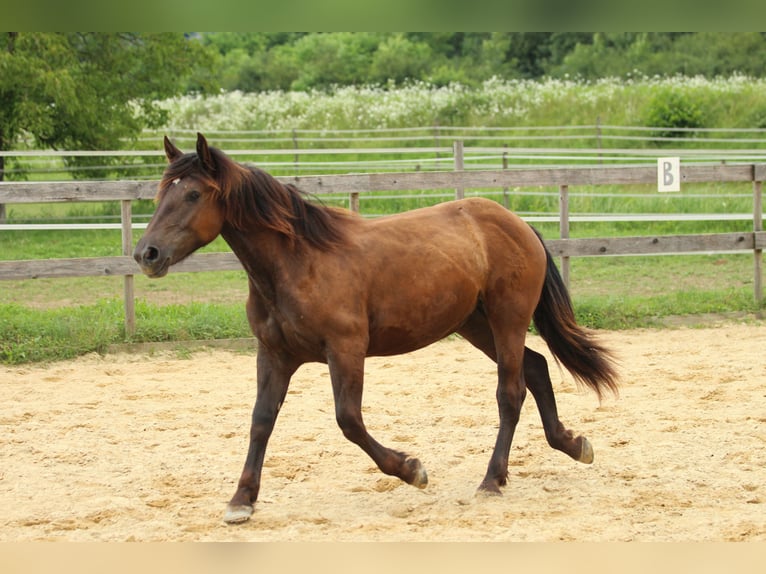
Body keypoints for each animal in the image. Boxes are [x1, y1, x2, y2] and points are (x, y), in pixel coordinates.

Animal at [135, 134, 620, 528]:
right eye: (160, 193)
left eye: (193, 194)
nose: (146, 254)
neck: (297, 263)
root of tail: (517, 223)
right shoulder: (274, 354)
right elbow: (260, 421)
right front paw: (241, 501)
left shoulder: (346, 349)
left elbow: (348, 420)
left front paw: (412, 469)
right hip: (476, 324)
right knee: (536, 370)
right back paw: (572, 444)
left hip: (507, 320)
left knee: (511, 392)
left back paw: (491, 480)